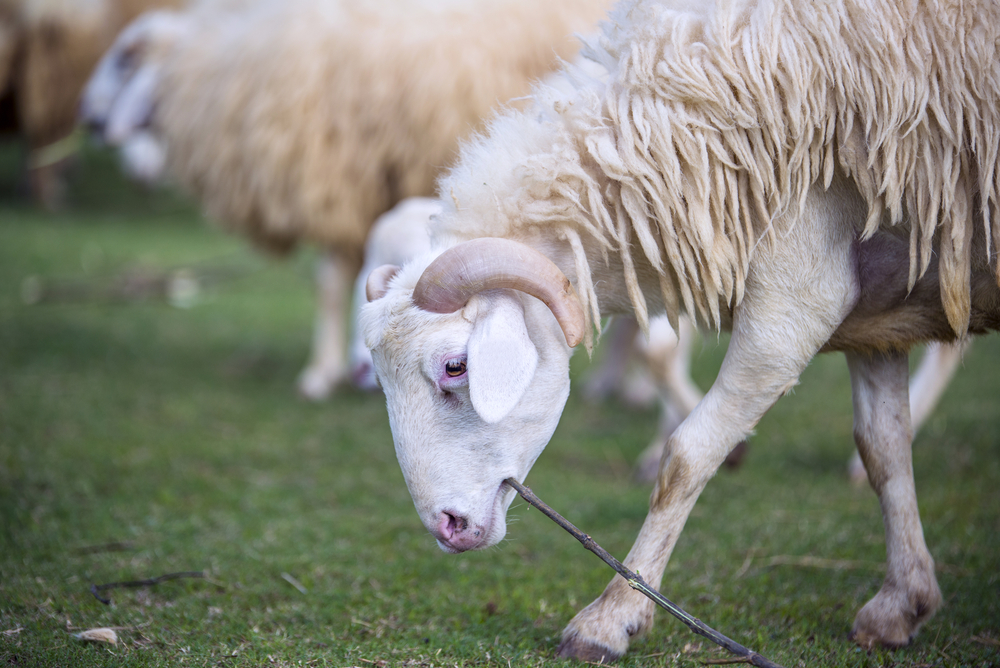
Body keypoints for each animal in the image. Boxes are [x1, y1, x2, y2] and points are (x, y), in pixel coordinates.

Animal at [362, 0, 1000, 656]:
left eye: (455, 367)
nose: (447, 528)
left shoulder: (801, 288)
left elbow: (687, 456)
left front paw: (611, 617)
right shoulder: (877, 311)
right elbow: (884, 451)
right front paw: (903, 604)